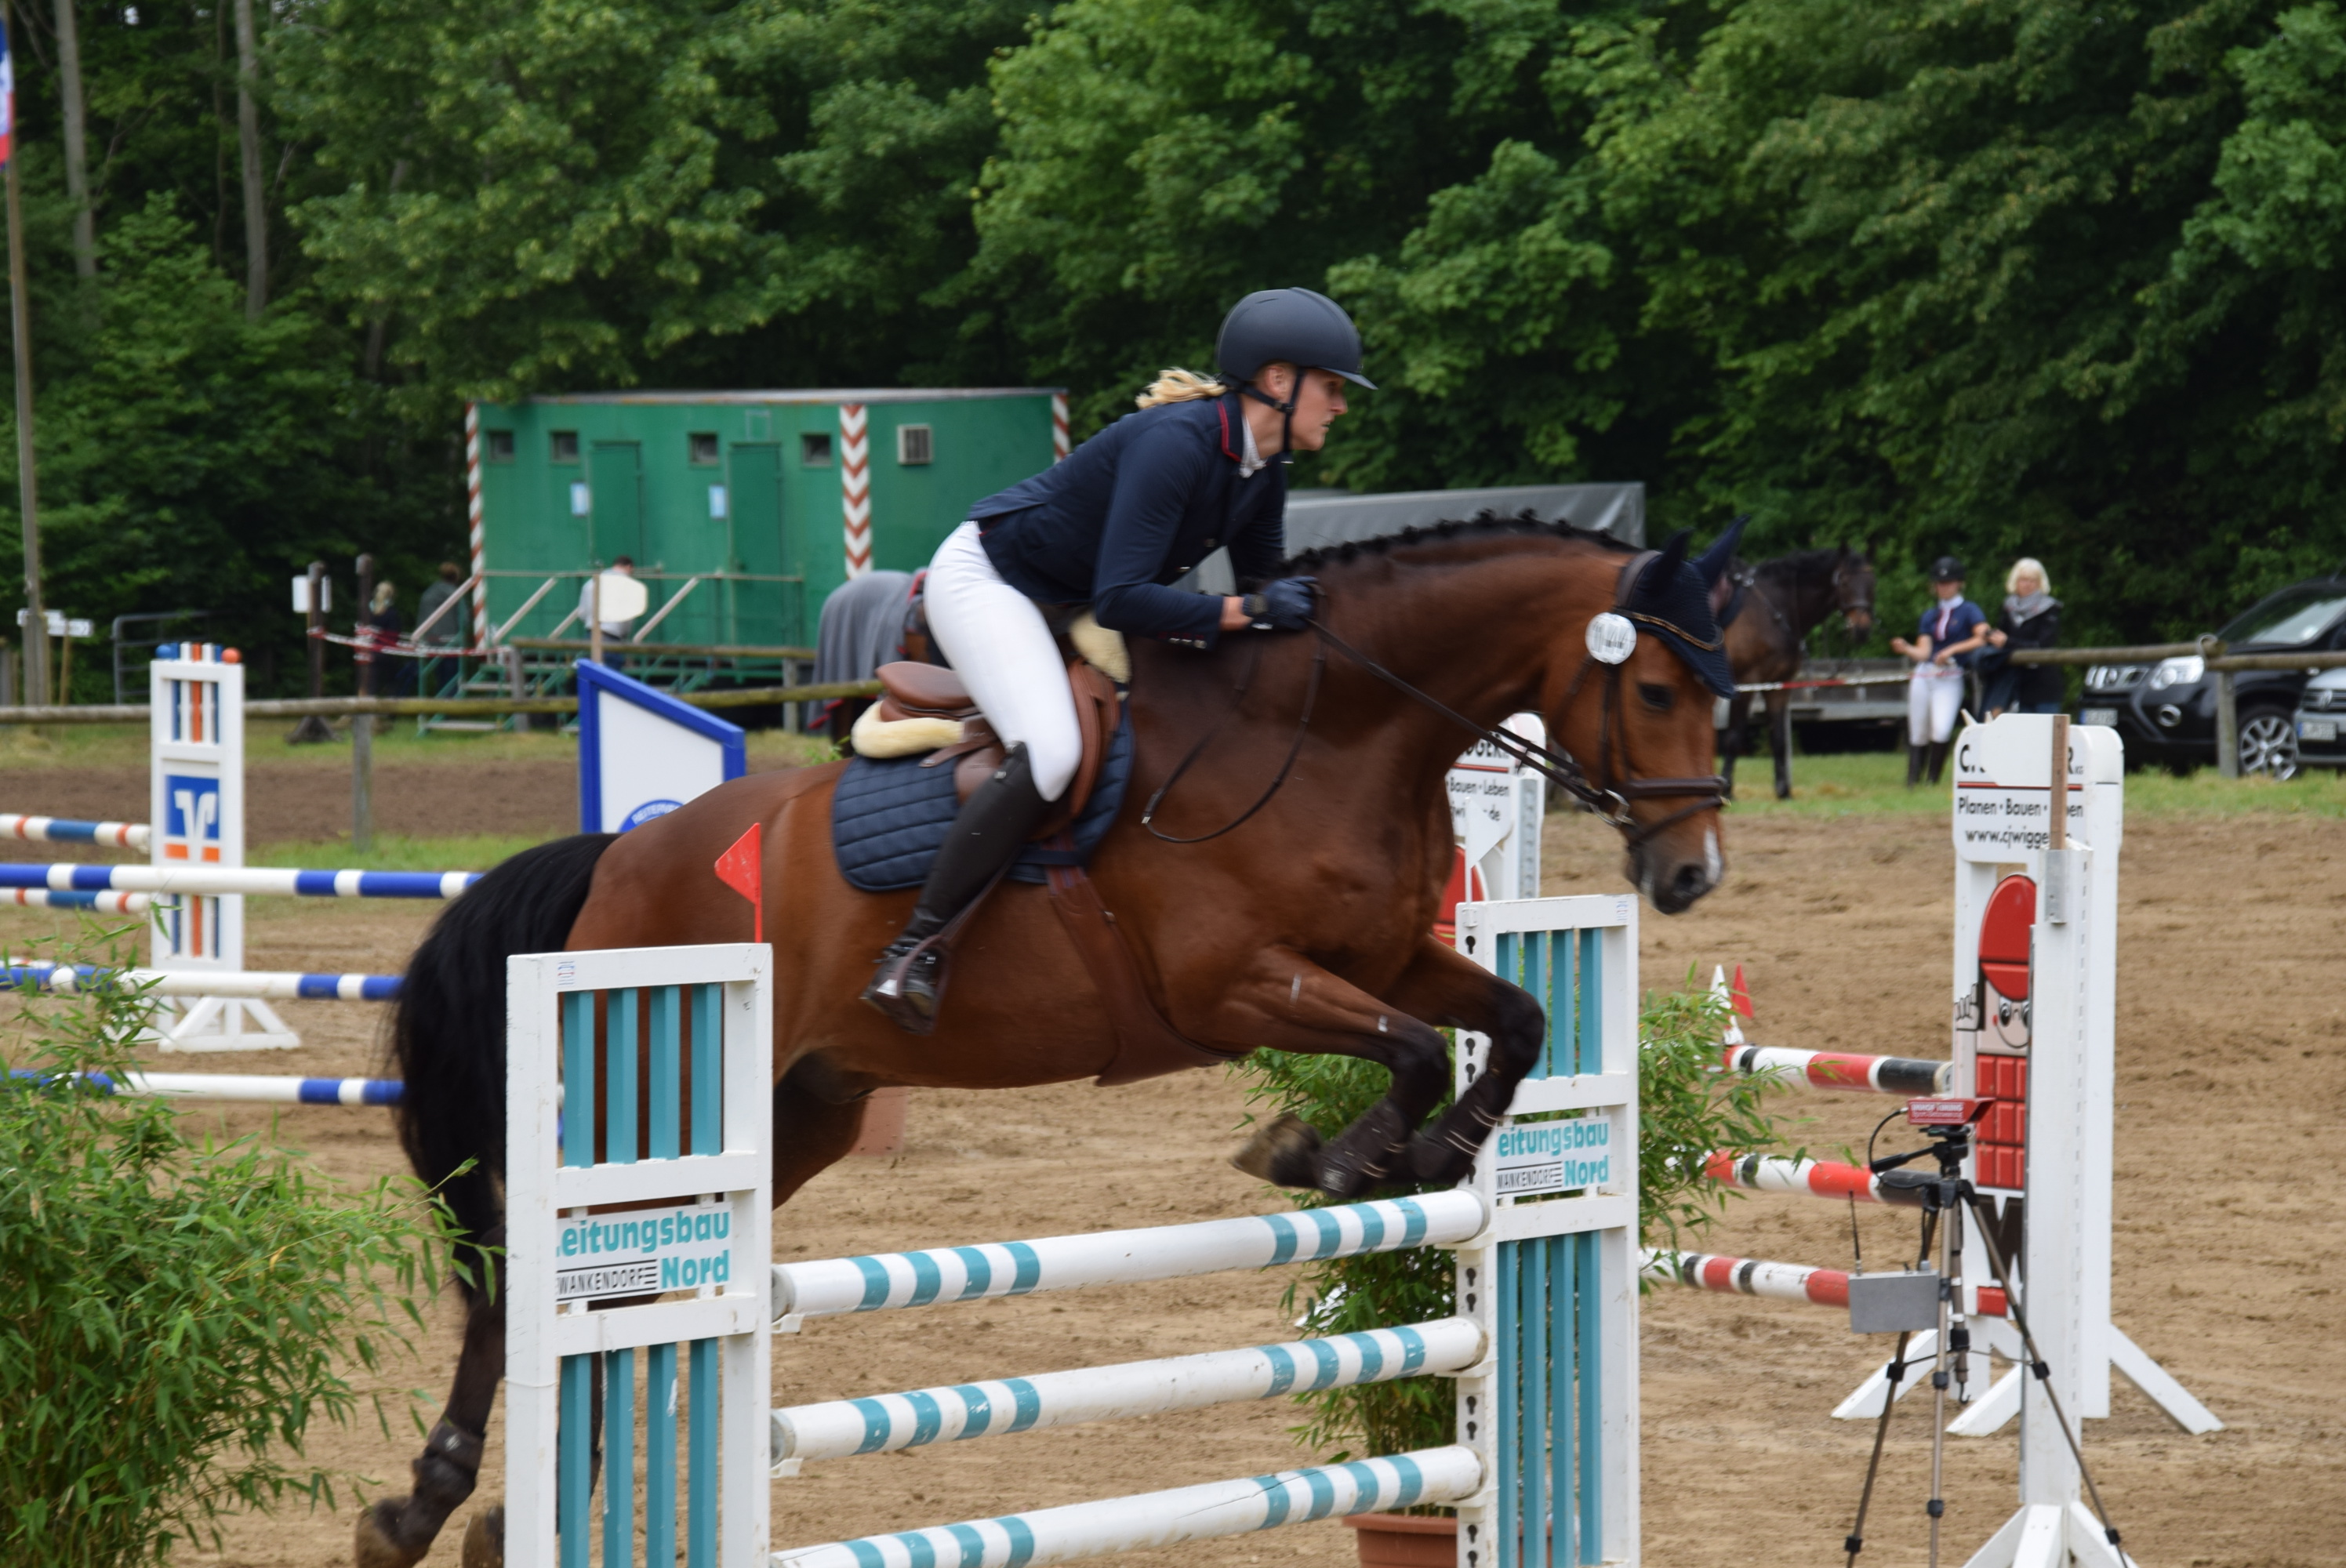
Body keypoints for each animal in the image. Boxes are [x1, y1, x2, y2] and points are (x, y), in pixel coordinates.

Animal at [347, 516, 1745, 1567]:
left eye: (1725, 693)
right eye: (1656, 688)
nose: (1689, 876)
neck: (1331, 733)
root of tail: (623, 856)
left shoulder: (1394, 956)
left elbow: (1515, 1020)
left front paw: (1438, 1154)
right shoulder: (1229, 987)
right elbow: (1404, 1050)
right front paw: (1329, 1157)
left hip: (802, 1111)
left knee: (625, 1298)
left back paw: (481, 1516)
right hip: (661, 1087)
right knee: (546, 1286)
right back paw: (438, 1508)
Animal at [1717, 549, 1876, 797]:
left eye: (1872, 582)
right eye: (1845, 582)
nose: (1861, 629)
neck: (1772, 610)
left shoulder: (1777, 686)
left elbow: (1779, 738)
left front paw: (1783, 791)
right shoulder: (1746, 683)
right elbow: (1734, 737)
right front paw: (1726, 790)